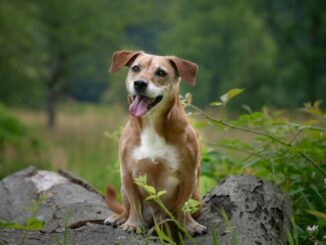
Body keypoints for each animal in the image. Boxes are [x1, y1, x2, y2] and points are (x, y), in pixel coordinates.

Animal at [104, 49, 206, 235]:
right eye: (136, 68)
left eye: (161, 72)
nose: (139, 83)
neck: (152, 122)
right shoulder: (127, 174)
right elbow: (135, 204)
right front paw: (133, 224)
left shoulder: (188, 175)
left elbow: (183, 205)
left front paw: (189, 226)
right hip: (123, 189)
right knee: (127, 207)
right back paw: (120, 217)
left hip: (196, 196)